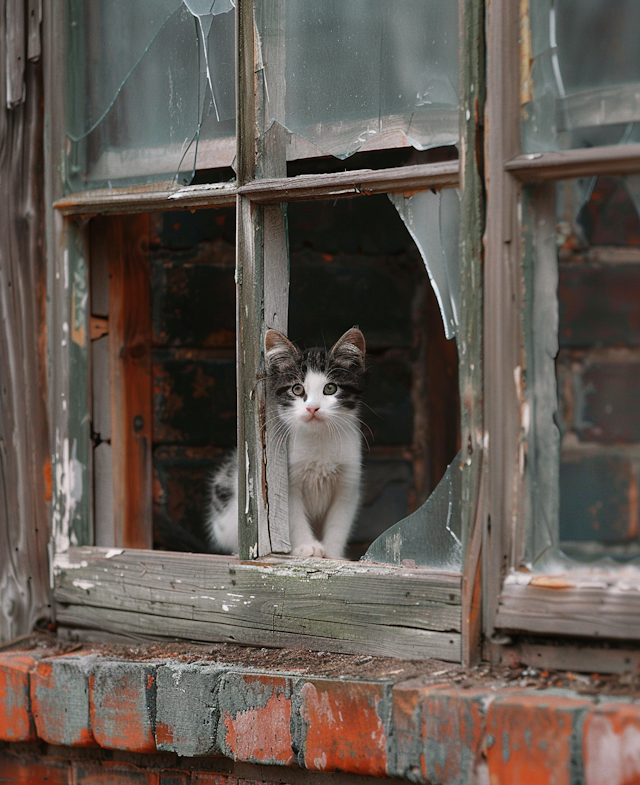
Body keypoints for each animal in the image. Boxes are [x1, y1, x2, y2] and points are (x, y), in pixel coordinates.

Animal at [205, 324, 364, 556]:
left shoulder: (348, 482)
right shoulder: (283, 482)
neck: (318, 440)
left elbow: (339, 522)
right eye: (297, 389)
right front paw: (307, 547)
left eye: (330, 388)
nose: (312, 408)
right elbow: (291, 516)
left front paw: (333, 555)